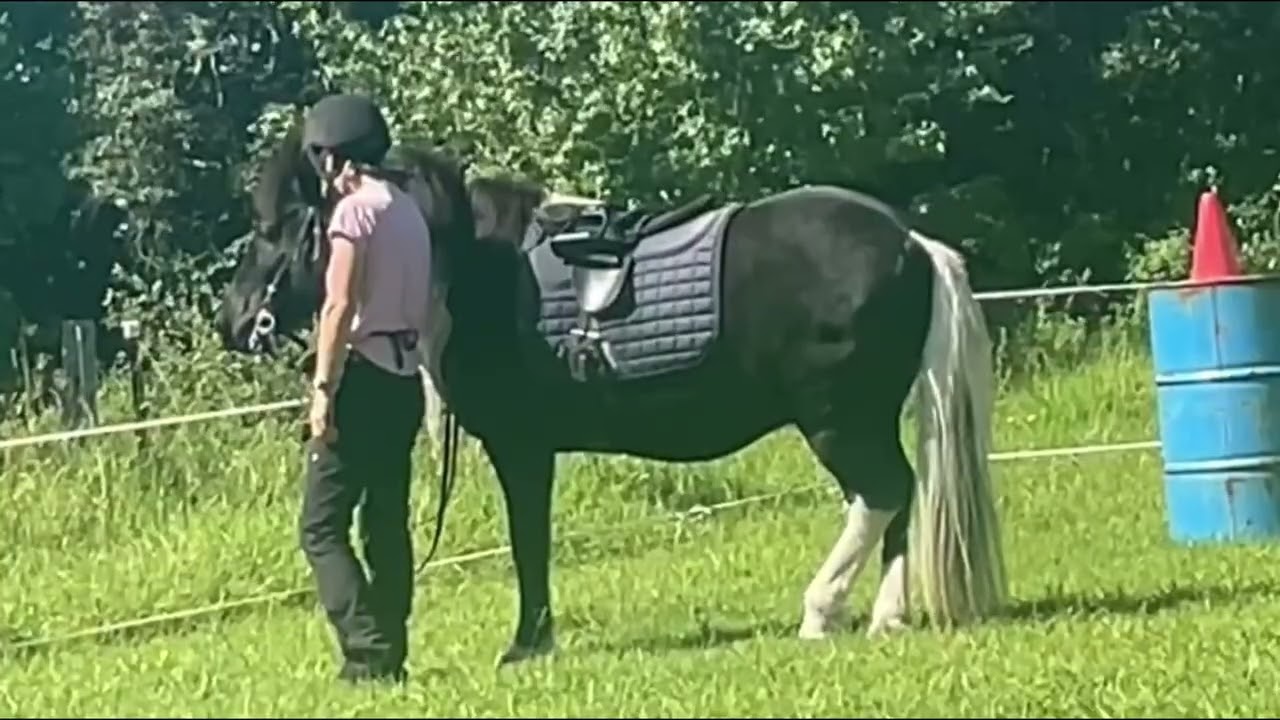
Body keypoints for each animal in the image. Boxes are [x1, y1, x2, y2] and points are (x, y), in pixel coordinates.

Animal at [218, 129, 1007, 668]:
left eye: (273, 229)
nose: (234, 321)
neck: (474, 269)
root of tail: (911, 242)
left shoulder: (522, 447)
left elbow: (528, 540)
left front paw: (528, 643)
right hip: (863, 420)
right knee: (896, 499)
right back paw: (886, 617)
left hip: (837, 421)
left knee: (882, 493)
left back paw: (820, 611)